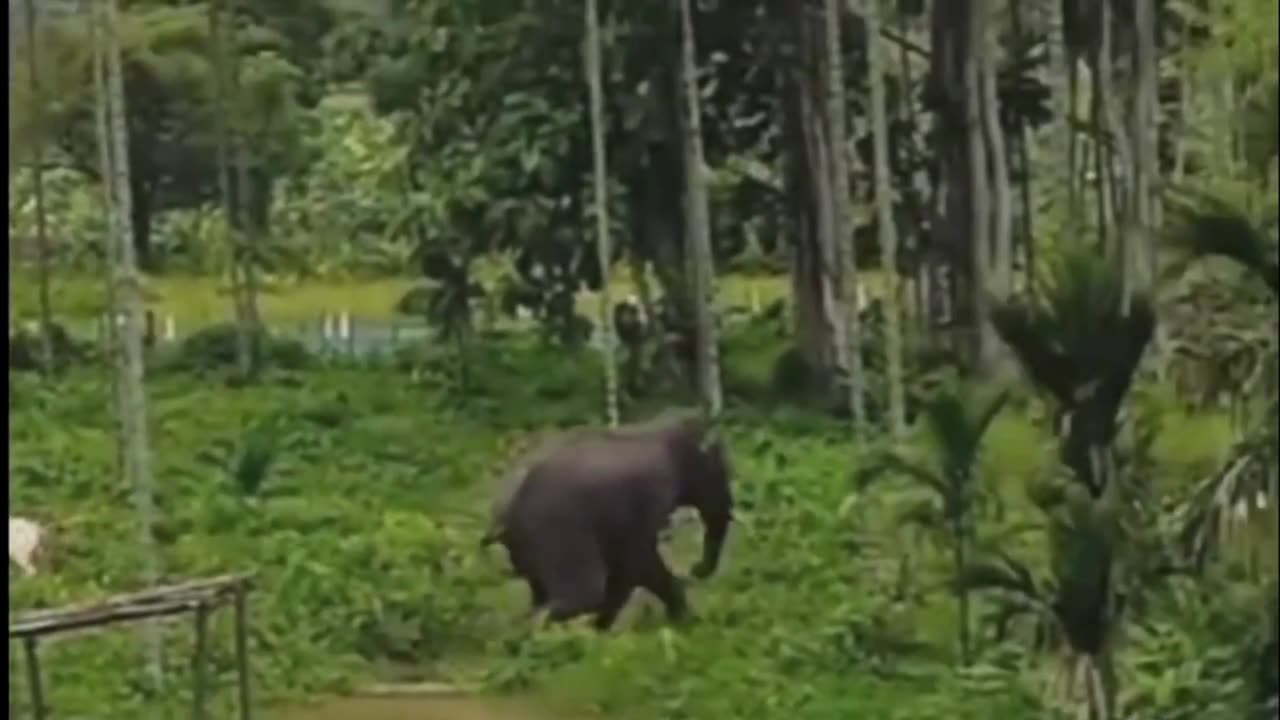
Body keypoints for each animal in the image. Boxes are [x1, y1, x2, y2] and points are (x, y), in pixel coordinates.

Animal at [481, 409, 742, 627]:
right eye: (722, 470)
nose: (695, 570)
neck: (656, 427)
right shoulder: (643, 502)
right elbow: (639, 564)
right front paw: (686, 622)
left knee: (543, 593)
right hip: (554, 531)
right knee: (585, 594)